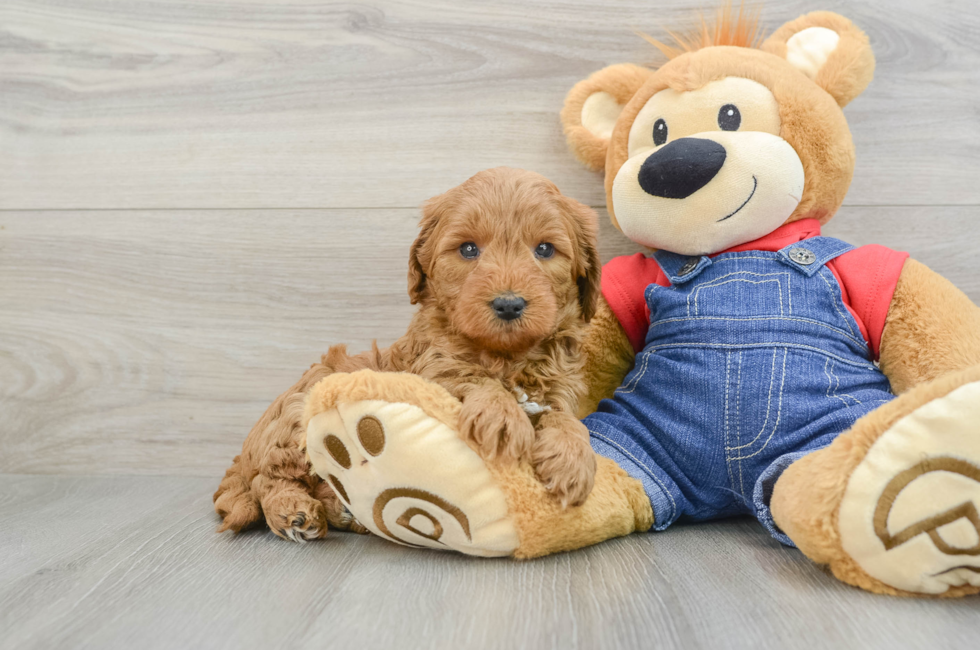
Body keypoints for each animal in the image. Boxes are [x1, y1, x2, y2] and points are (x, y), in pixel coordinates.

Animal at [213, 166, 596, 536]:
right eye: (468, 249)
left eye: (544, 249)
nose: (508, 304)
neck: (506, 356)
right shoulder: (431, 372)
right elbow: (470, 377)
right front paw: (502, 417)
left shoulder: (560, 390)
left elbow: (566, 418)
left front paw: (572, 458)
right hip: (298, 414)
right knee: (269, 479)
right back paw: (293, 511)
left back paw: (343, 511)